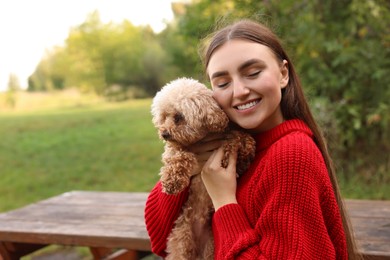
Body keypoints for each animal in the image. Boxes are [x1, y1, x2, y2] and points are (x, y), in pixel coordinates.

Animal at [152, 77, 256, 260]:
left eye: (178, 117)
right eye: (164, 117)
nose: (164, 134)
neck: (201, 137)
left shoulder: (227, 131)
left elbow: (240, 137)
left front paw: (242, 155)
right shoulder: (176, 148)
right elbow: (177, 157)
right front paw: (172, 182)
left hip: (210, 245)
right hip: (181, 240)